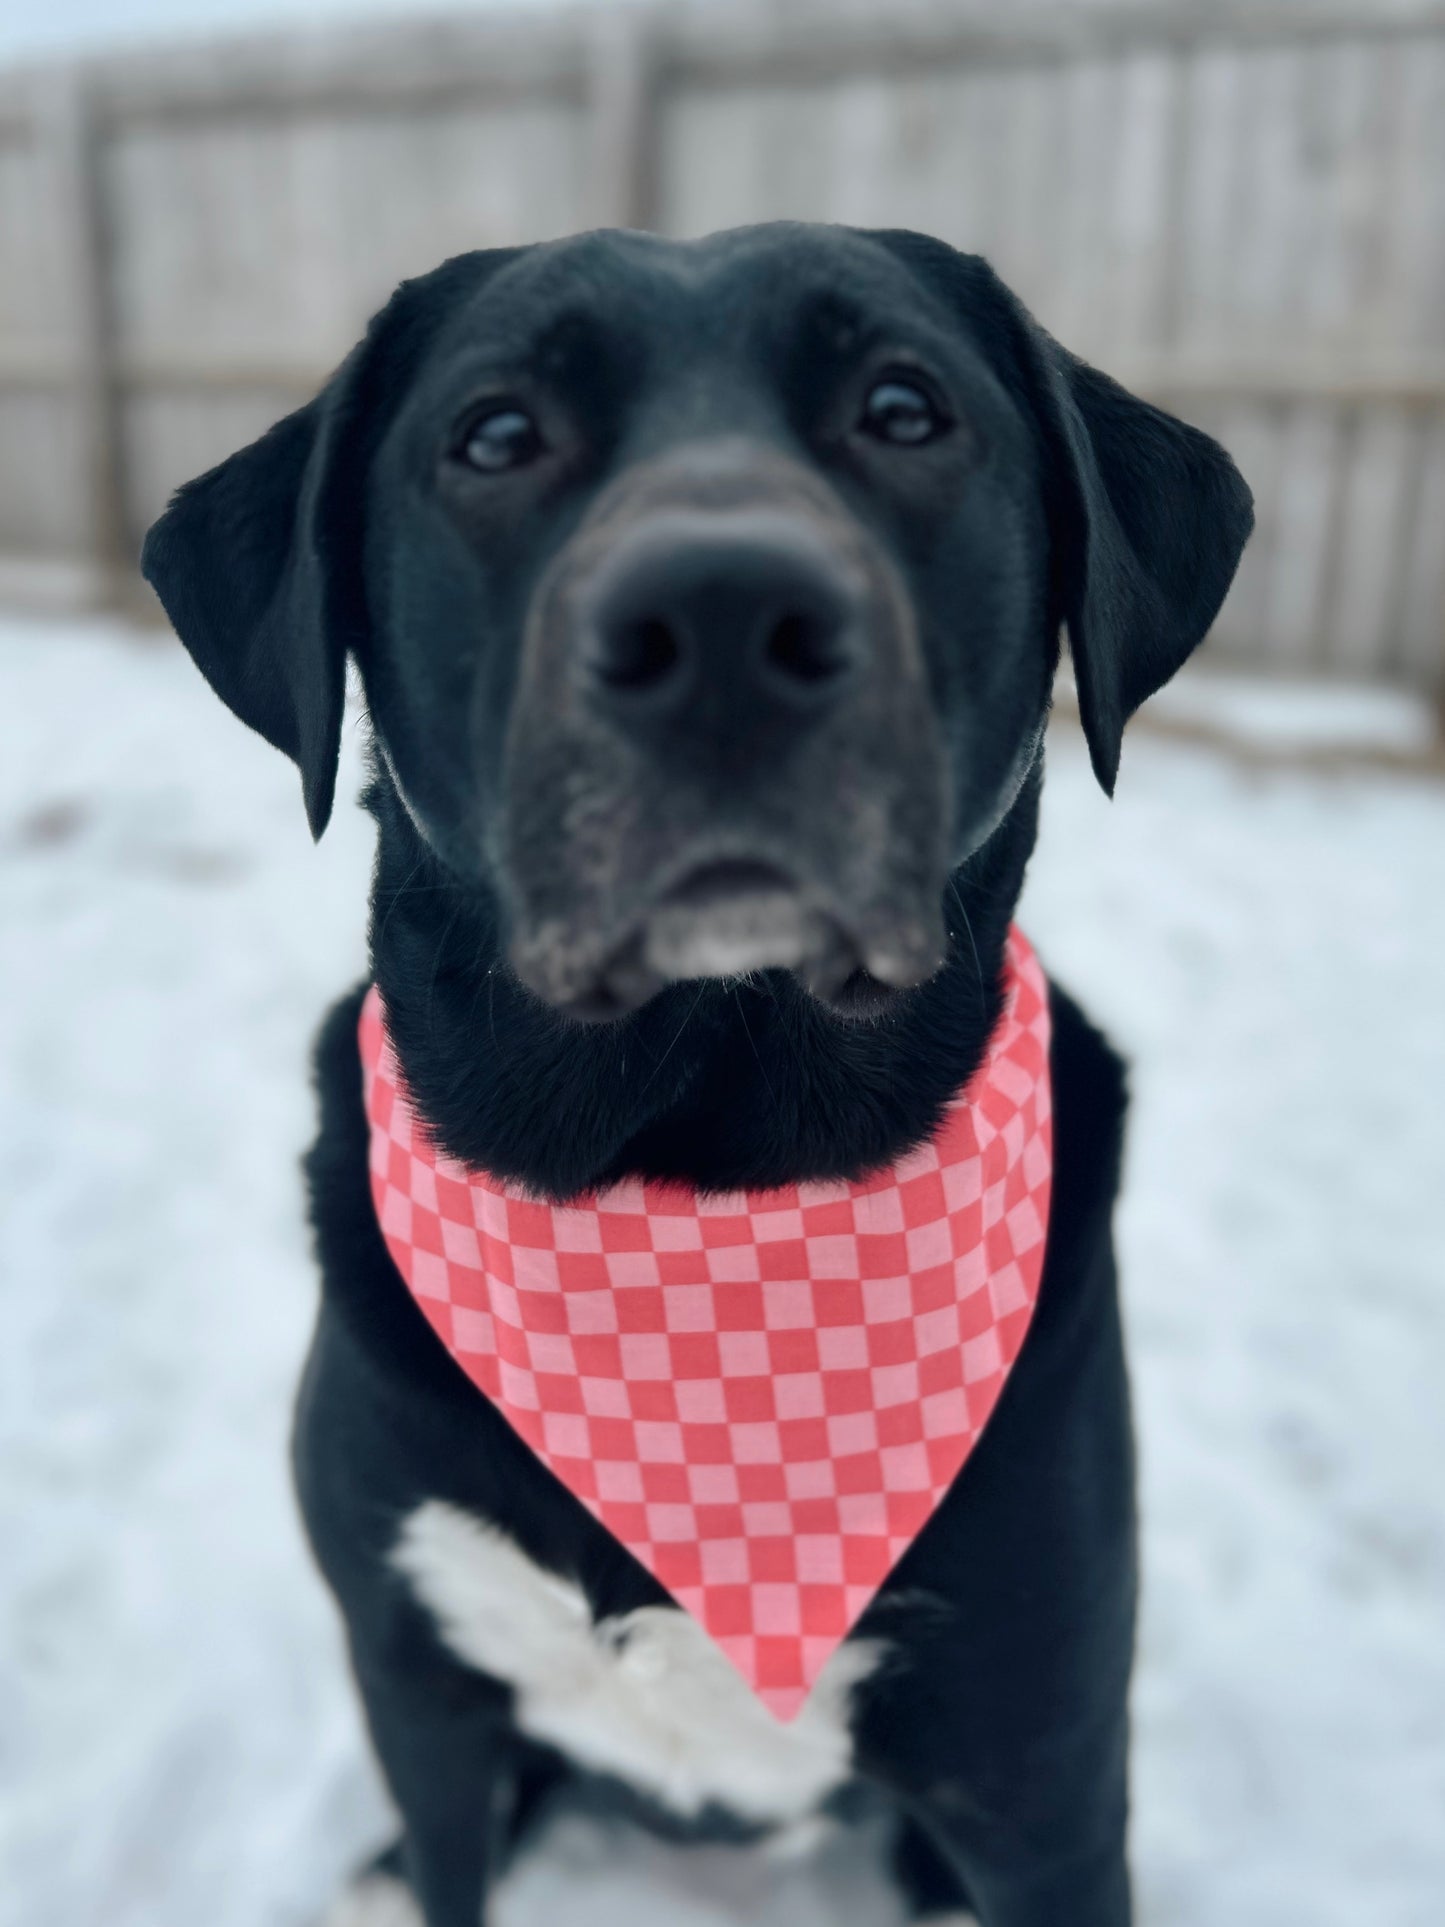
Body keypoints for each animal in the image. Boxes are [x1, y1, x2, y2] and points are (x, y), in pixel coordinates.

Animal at [144, 218, 1256, 1919]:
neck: (692, 1175)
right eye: (496, 433)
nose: (723, 617)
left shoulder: (1043, 1770)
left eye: (904, 407)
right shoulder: (419, 1690)